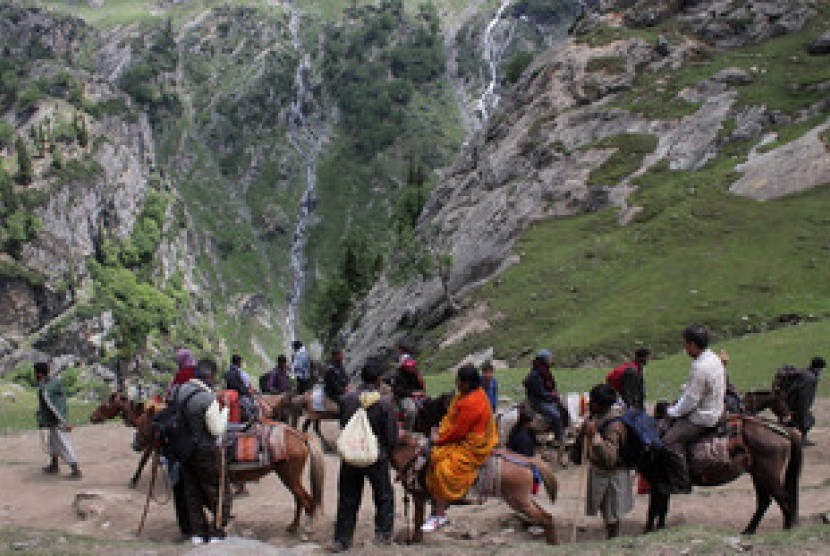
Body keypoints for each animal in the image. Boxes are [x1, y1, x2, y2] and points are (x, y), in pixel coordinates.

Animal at [90, 394, 324, 532]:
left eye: (142, 425)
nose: (135, 444)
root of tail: (299, 435)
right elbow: (209, 502)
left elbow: (211, 502)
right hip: (288, 475)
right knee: (299, 499)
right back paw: (293, 526)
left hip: (288, 475)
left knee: (306, 500)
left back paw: (306, 530)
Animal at [390, 432, 560, 544]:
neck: (412, 457)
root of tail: (528, 460)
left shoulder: (418, 496)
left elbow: (418, 520)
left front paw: (415, 540)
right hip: (524, 499)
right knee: (545, 515)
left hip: (518, 500)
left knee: (546, 517)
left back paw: (552, 542)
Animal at [644, 404, 800, 536]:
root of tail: (784, 430)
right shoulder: (663, 482)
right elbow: (662, 508)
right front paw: (659, 528)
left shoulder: (656, 481)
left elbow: (653, 508)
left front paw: (648, 530)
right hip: (759, 475)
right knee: (765, 501)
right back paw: (749, 530)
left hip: (768, 475)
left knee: (783, 498)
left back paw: (787, 528)